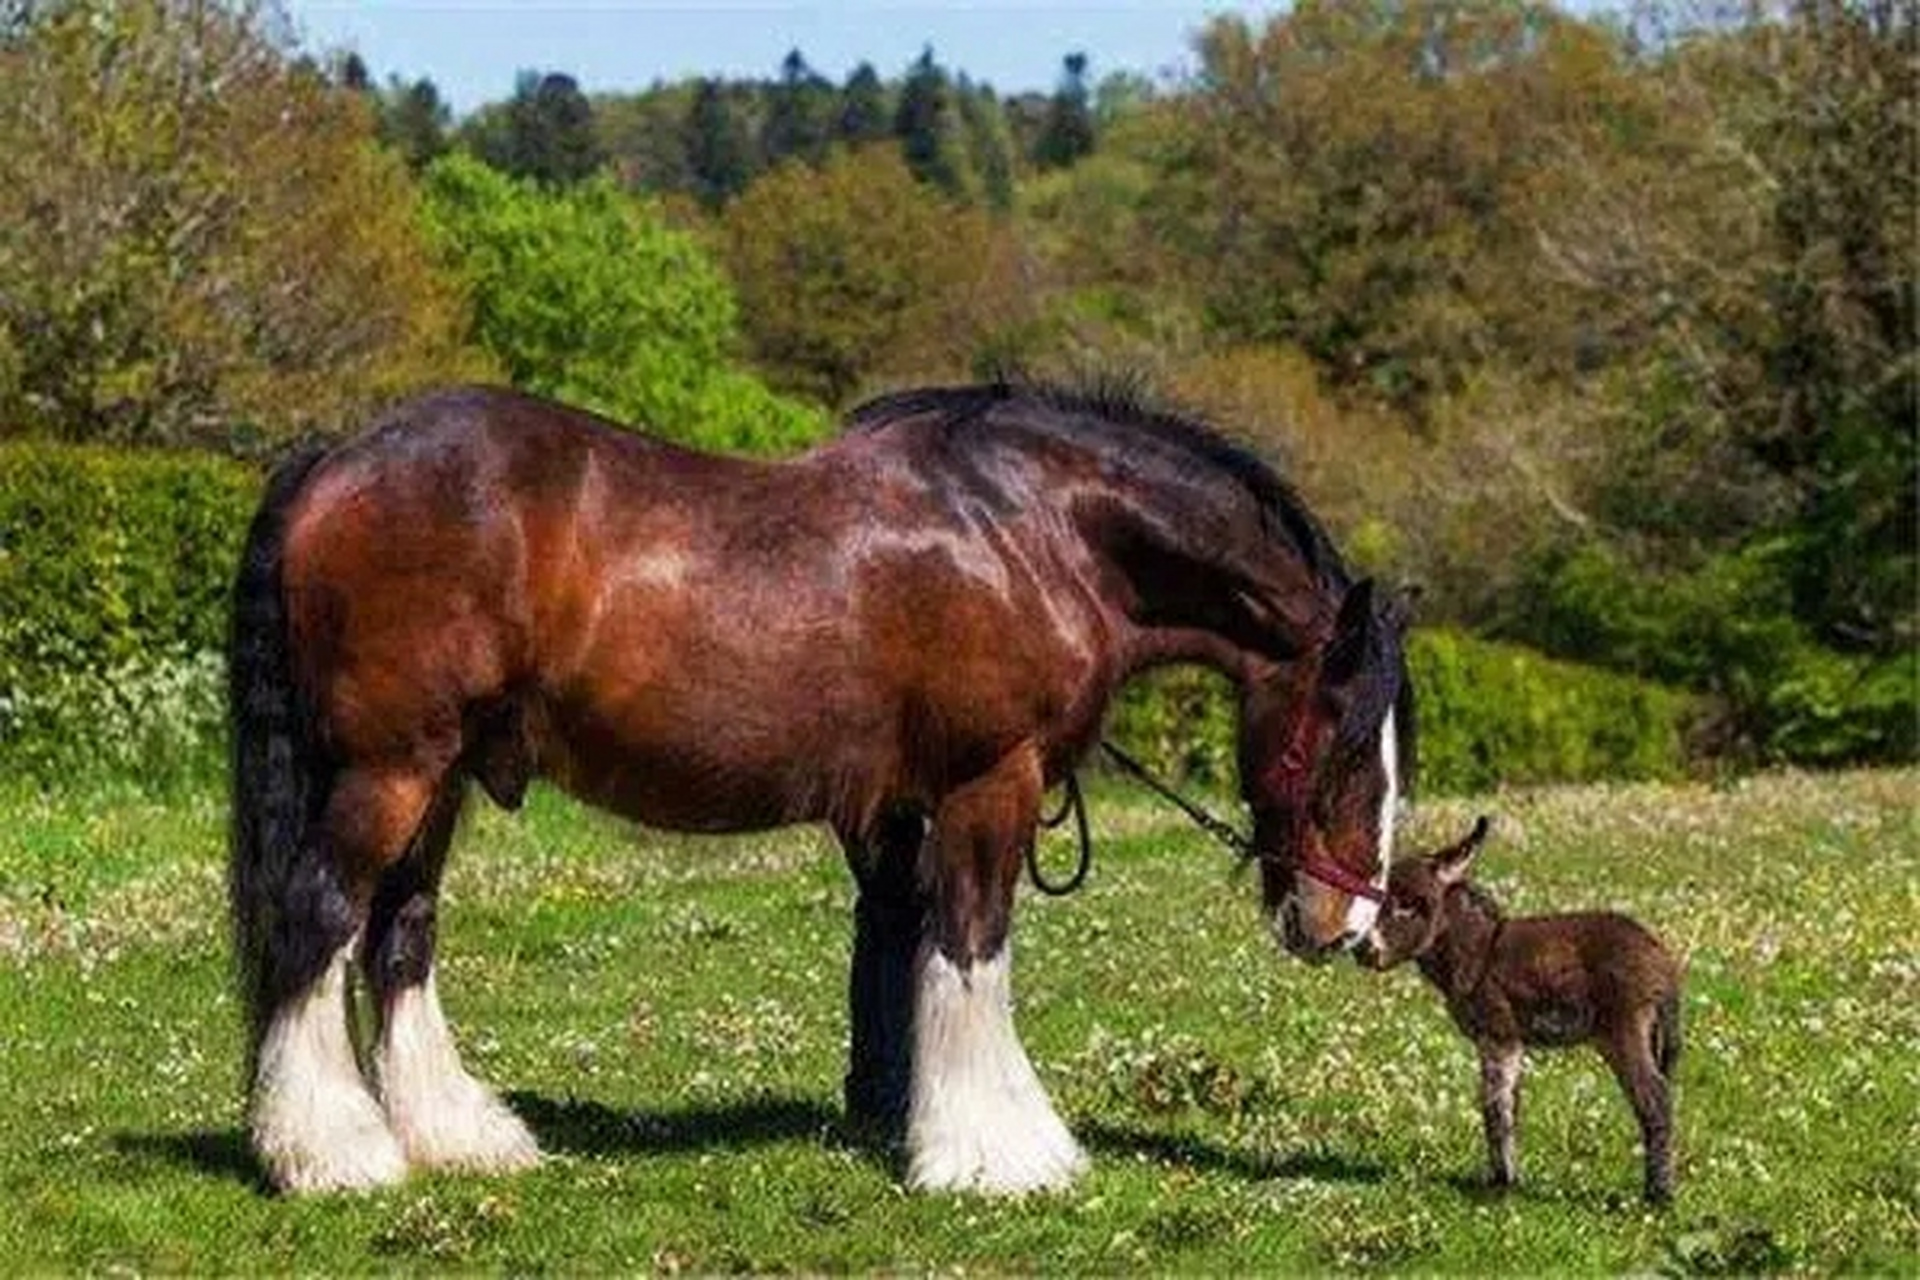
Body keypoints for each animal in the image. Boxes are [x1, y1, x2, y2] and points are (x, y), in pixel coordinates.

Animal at [232, 378, 1420, 1189]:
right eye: (1344, 741)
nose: (1346, 921)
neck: (1032, 530)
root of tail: (334, 463)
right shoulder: (987, 784)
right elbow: (971, 948)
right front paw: (999, 1150)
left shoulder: (904, 811)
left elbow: (909, 953)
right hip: (391, 769)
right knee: (321, 915)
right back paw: (331, 1152)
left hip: (441, 779)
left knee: (400, 933)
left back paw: (454, 1135)